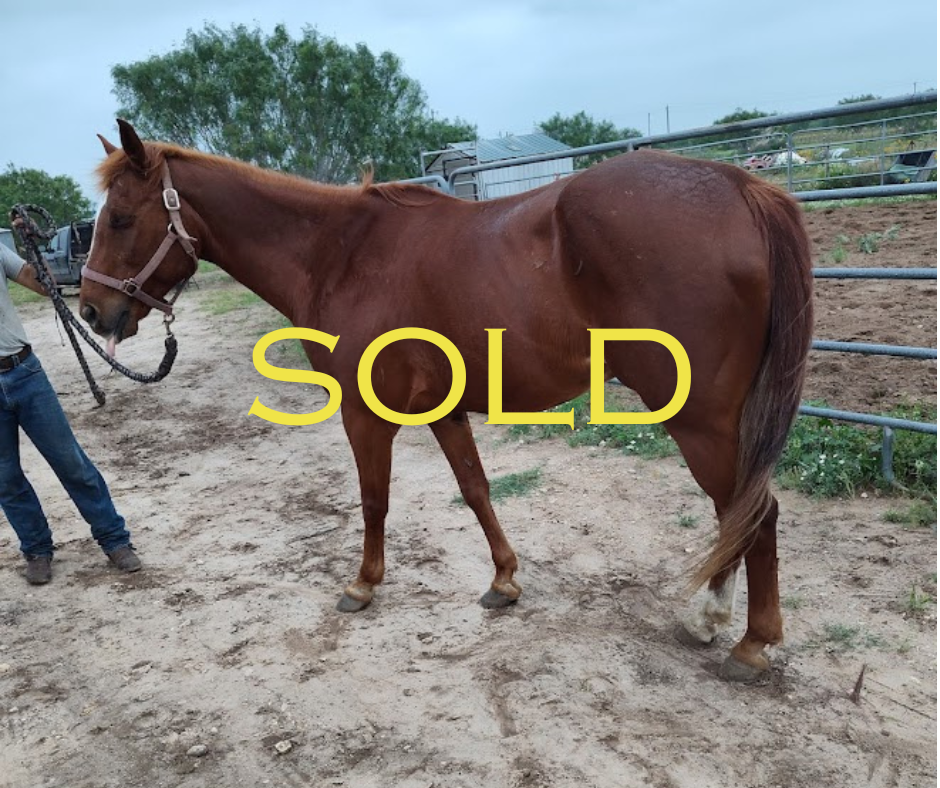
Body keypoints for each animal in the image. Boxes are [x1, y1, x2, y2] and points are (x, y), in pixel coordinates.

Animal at [79, 120, 813, 681]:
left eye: (119, 218)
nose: (91, 311)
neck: (338, 255)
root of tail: (741, 186)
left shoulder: (363, 413)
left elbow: (374, 499)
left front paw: (363, 584)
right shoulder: (443, 407)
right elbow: (476, 488)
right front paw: (505, 581)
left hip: (699, 420)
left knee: (755, 513)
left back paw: (749, 644)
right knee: (737, 514)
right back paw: (713, 621)